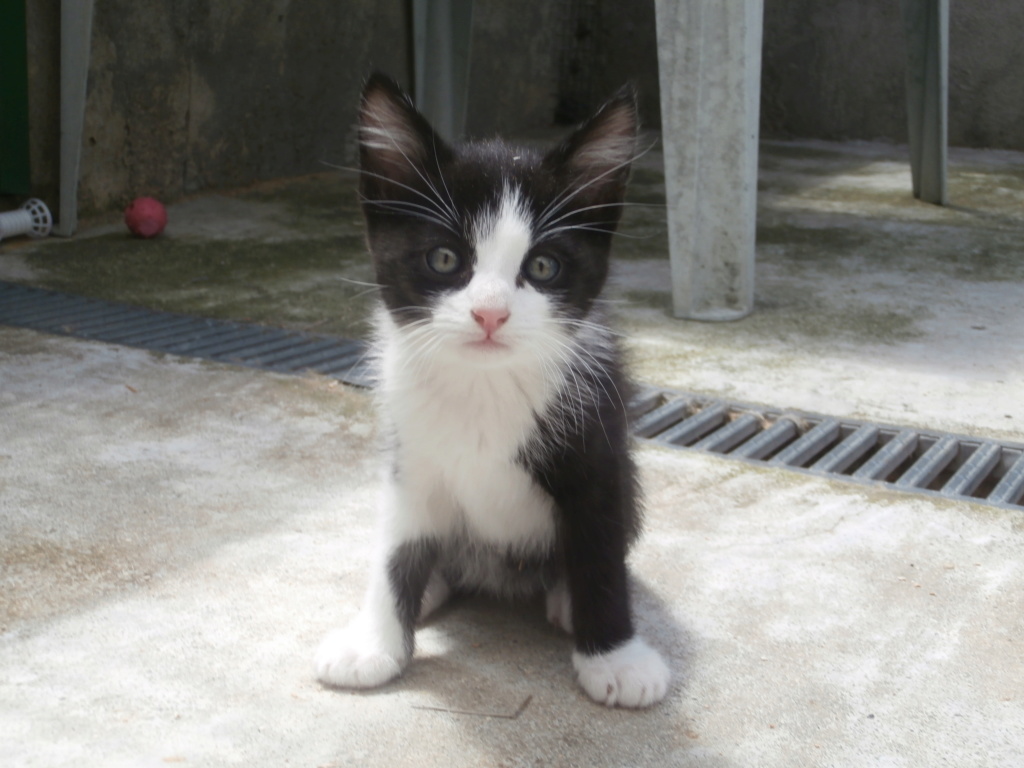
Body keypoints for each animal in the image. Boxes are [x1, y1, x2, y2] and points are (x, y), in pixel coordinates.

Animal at [313, 73, 671, 708]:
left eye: (545, 267)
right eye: (444, 258)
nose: (490, 314)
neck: (483, 385)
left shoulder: (599, 449)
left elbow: (600, 551)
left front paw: (617, 657)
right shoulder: (411, 455)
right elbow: (397, 546)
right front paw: (375, 643)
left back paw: (565, 599)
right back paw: (431, 587)